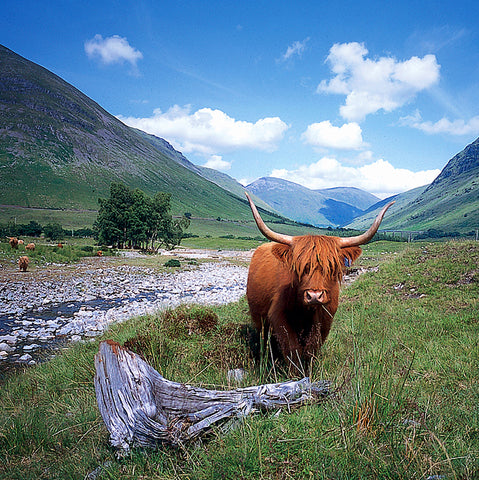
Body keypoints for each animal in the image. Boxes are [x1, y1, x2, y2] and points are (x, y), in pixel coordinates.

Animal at [246, 192, 396, 364]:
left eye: (331, 267)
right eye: (301, 267)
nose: (314, 296)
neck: (306, 311)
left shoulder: (324, 320)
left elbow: (311, 350)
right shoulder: (279, 318)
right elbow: (292, 351)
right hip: (259, 319)